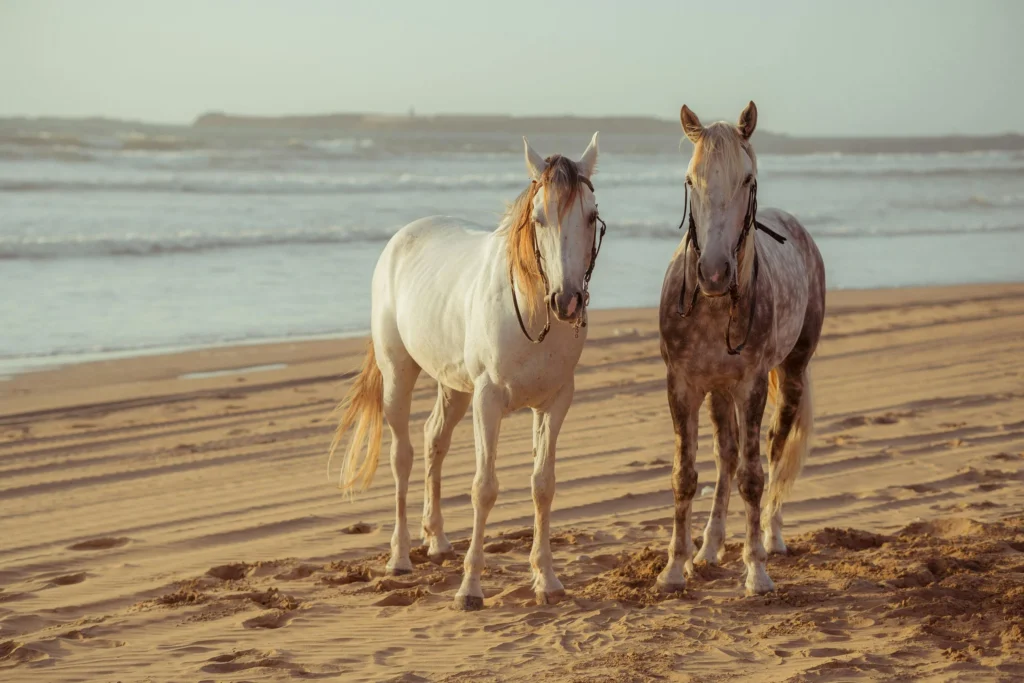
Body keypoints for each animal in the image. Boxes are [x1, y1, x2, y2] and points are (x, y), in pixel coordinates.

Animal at [328, 134, 606, 610]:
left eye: (590, 215)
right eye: (538, 218)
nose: (567, 301)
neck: (531, 309)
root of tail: (403, 236)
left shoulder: (555, 402)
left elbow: (543, 485)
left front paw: (547, 580)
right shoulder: (488, 400)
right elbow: (484, 488)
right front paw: (469, 589)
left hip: (454, 386)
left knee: (434, 438)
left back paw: (437, 541)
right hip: (399, 375)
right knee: (402, 455)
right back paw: (400, 556)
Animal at [656, 102, 825, 596]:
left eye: (747, 179)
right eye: (691, 180)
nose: (713, 272)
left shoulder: (751, 386)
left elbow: (754, 477)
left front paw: (757, 572)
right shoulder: (683, 386)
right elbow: (686, 475)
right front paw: (675, 568)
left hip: (790, 374)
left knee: (773, 452)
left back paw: (772, 536)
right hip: (718, 390)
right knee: (726, 456)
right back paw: (709, 548)